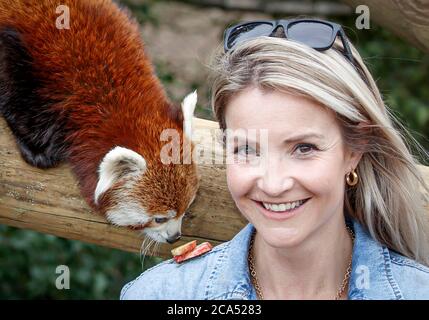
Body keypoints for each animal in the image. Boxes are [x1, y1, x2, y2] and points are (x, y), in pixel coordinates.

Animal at [0, 0, 200, 242]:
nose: (174, 237)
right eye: (159, 218)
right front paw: (37, 150)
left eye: (186, 209)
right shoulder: (24, 55)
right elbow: (14, 90)